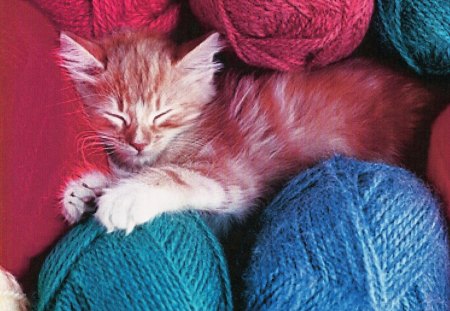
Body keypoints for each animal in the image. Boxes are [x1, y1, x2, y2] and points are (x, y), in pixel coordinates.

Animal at [59, 31, 428, 235]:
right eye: (116, 116)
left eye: (163, 113)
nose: (139, 143)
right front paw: (90, 189)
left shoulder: (234, 178)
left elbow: (175, 175)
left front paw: (124, 196)